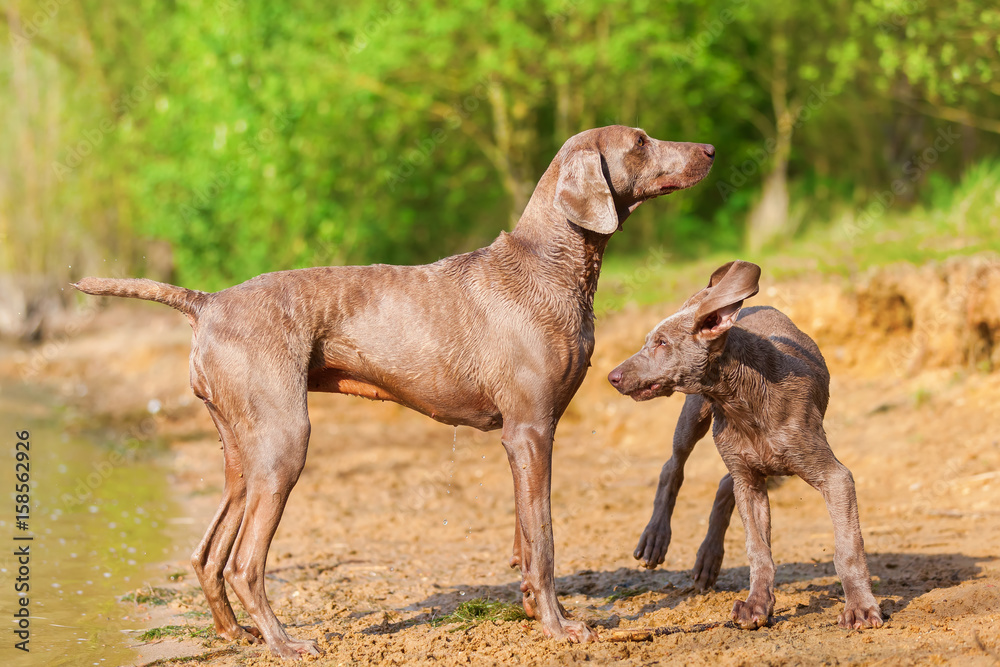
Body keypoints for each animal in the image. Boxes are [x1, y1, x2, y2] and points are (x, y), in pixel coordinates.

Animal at [72, 128, 712, 660]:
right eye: (640, 141)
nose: (708, 150)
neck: (549, 264)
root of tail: (206, 301)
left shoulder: (523, 437)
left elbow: (524, 540)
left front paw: (536, 612)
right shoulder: (531, 430)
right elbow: (545, 540)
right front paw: (560, 629)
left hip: (240, 453)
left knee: (208, 555)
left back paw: (237, 635)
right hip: (284, 443)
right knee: (245, 564)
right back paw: (285, 643)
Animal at [608, 260, 884, 632]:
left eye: (662, 342)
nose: (612, 376)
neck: (743, 401)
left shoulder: (834, 477)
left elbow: (847, 547)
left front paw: (860, 608)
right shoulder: (750, 483)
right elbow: (758, 549)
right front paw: (757, 605)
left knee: (723, 482)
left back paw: (708, 558)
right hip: (695, 417)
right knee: (673, 467)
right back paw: (656, 538)